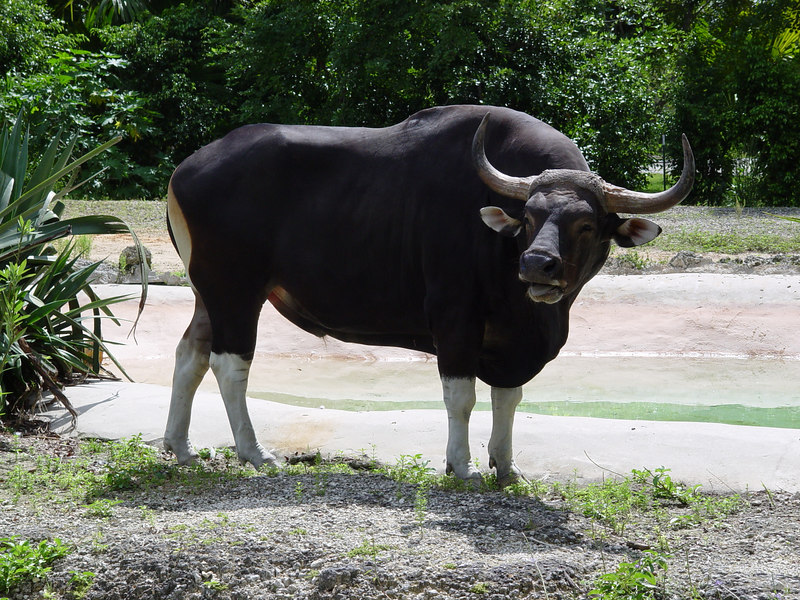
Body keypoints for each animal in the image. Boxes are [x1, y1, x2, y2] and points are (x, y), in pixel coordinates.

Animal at [164, 105, 692, 486]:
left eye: (585, 223)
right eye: (529, 217)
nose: (536, 264)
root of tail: (184, 170)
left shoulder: (511, 340)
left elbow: (509, 397)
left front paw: (506, 466)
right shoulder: (455, 319)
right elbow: (462, 396)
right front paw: (462, 466)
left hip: (207, 293)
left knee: (190, 353)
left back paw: (180, 446)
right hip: (235, 289)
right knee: (230, 364)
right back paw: (255, 453)